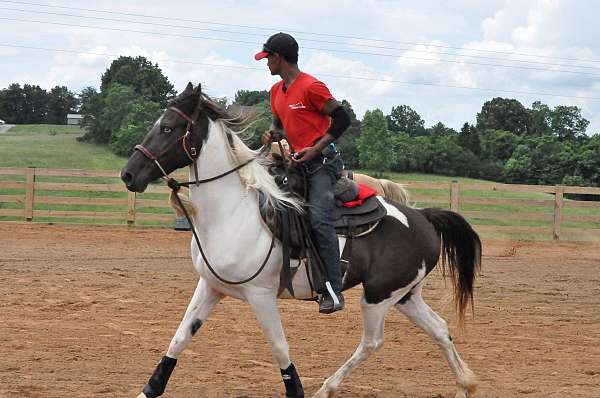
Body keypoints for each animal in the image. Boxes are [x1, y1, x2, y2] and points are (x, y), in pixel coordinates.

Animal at [119, 84, 480, 398]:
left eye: (168, 127)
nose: (128, 174)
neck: (233, 211)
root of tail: (422, 217)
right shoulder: (211, 285)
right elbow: (180, 338)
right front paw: (148, 389)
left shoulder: (260, 294)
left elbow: (280, 347)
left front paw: (297, 389)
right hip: (405, 295)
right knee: (439, 328)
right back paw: (465, 384)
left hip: (378, 297)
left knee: (372, 342)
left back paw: (328, 387)